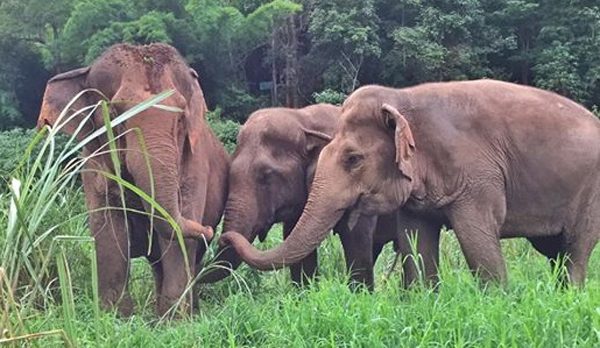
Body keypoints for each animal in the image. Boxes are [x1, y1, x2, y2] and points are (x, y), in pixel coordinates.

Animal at [37, 43, 230, 316]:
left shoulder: (194, 161)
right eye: (115, 113)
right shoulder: (93, 162)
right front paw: (116, 318)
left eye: (181, 117)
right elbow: (109, 230)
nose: (210, 230)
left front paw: (175, 322)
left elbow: (177, 235)